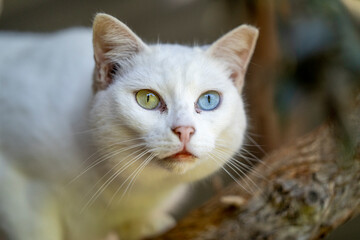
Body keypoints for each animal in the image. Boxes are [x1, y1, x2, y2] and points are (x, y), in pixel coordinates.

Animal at [0, 12, 258, 240]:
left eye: (209, 100)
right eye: (147, 99)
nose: (184, 130)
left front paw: (143, 225)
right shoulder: (17, 186)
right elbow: (36, 230)